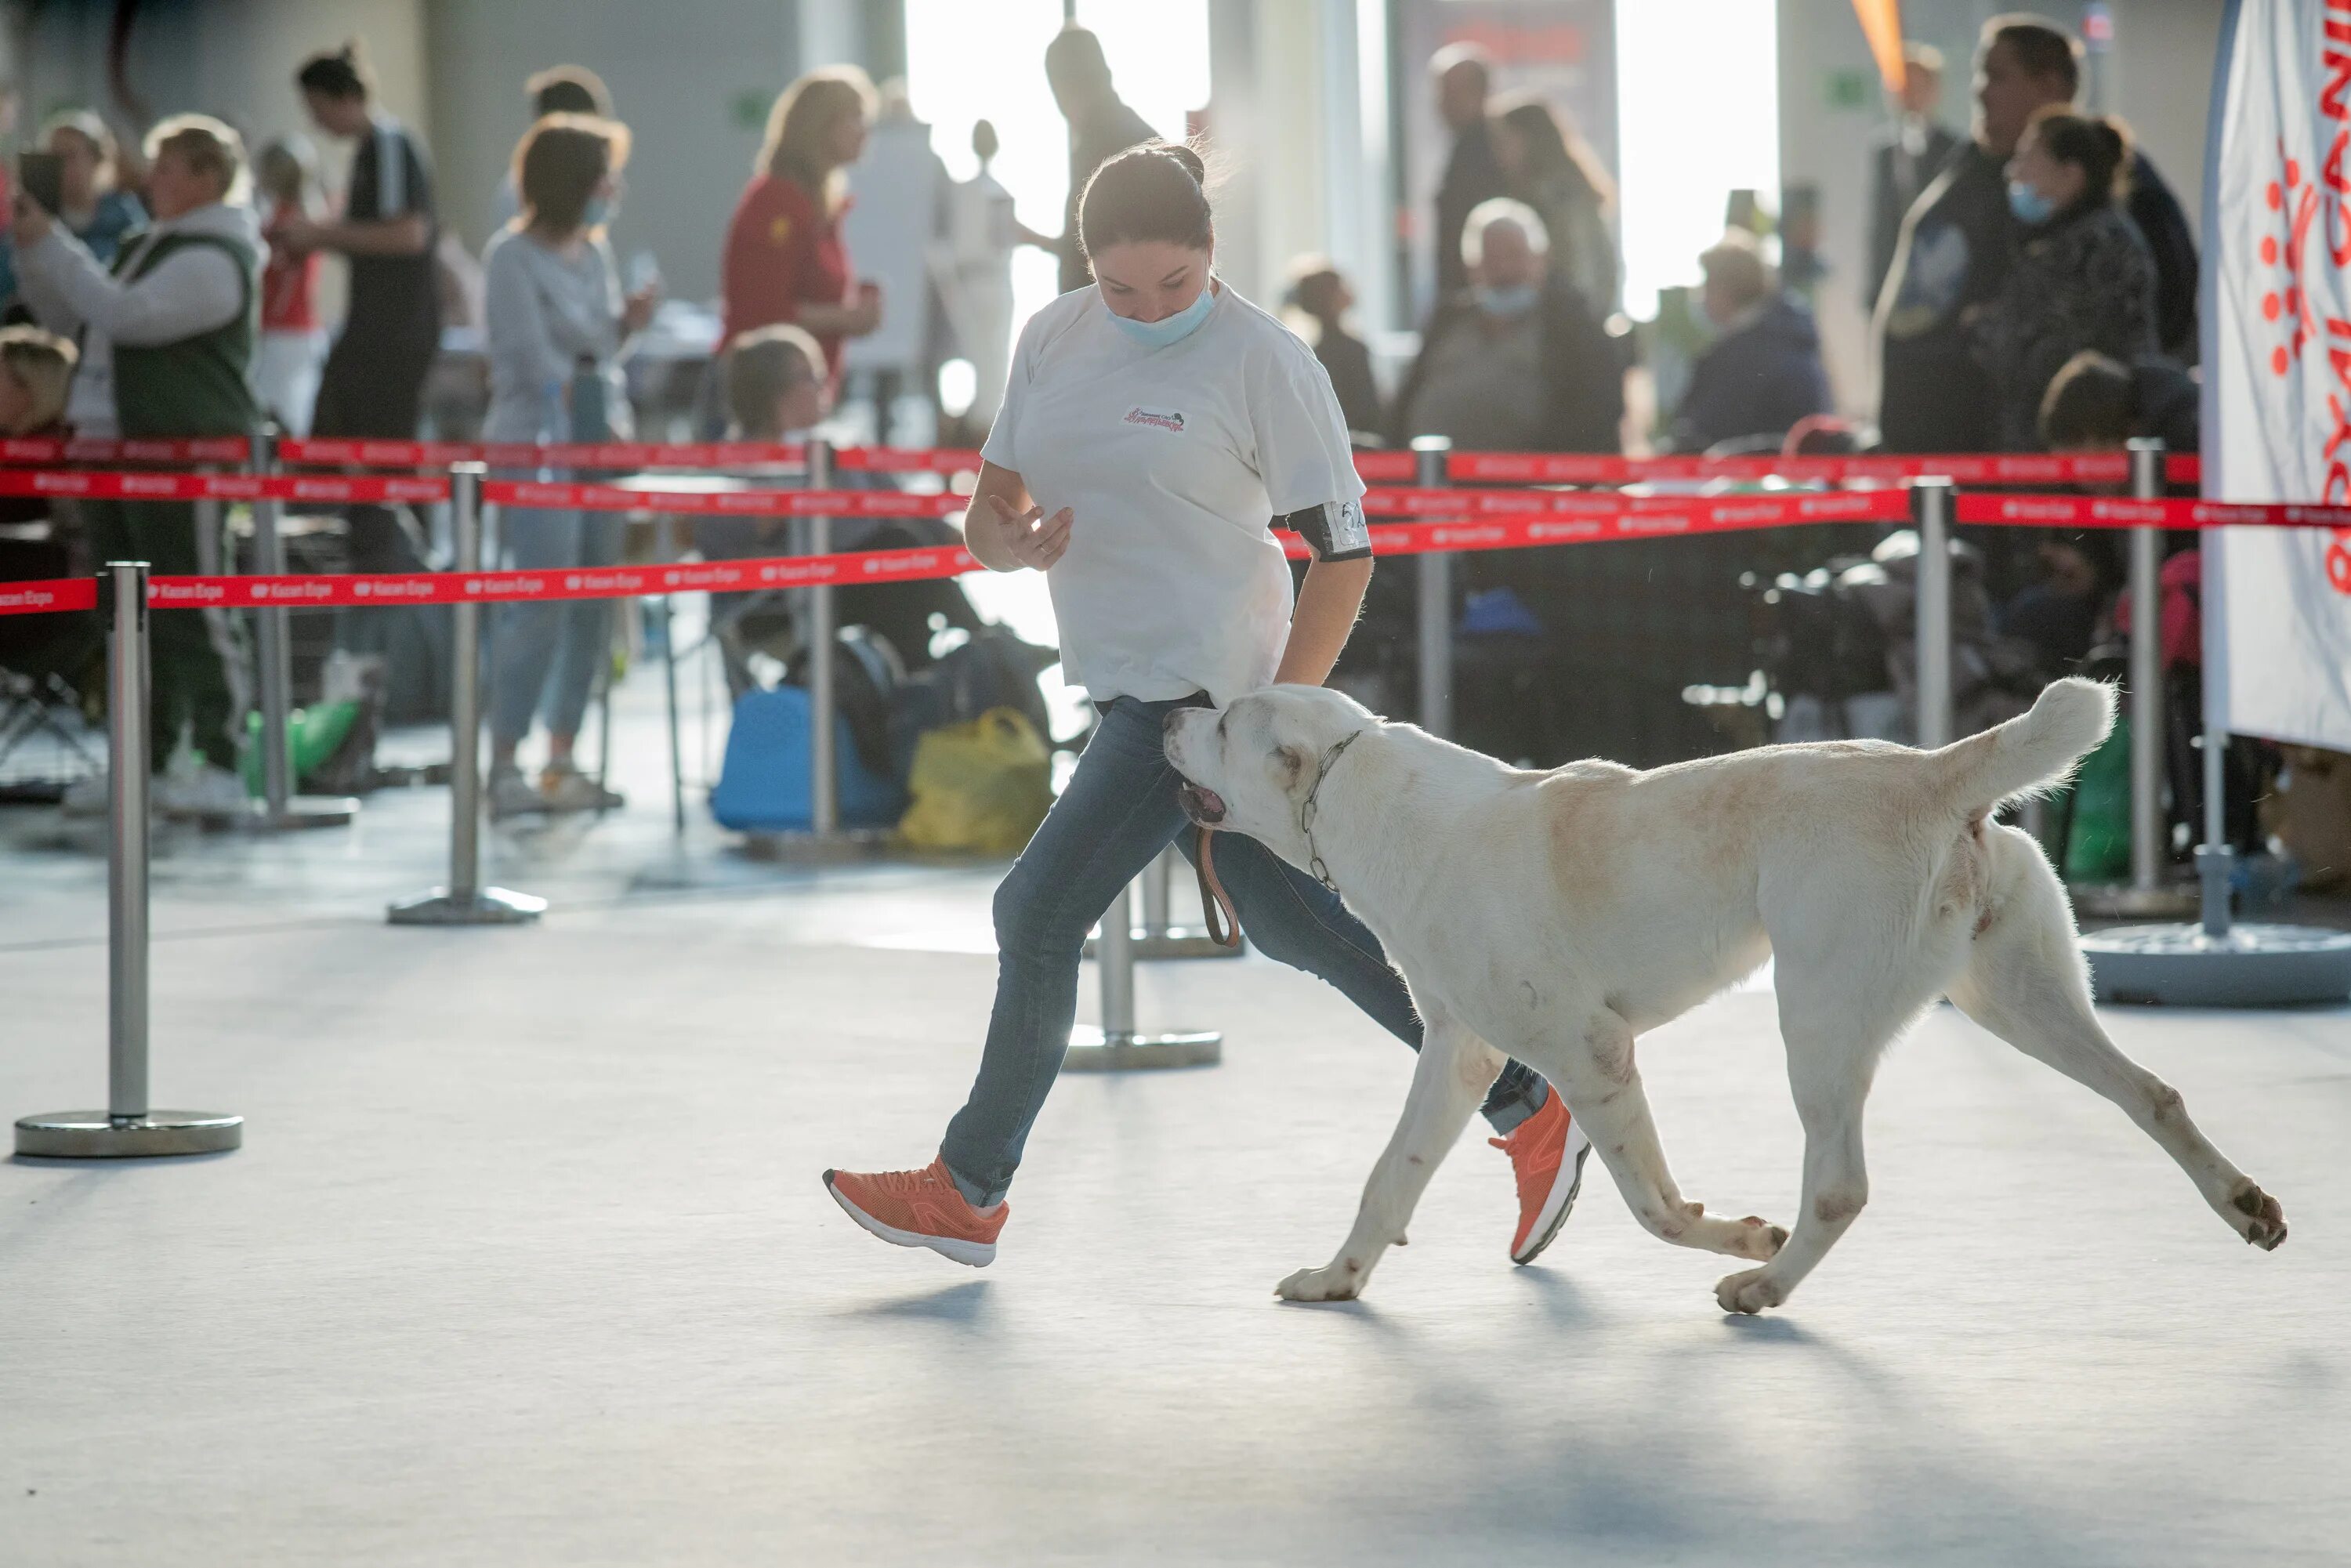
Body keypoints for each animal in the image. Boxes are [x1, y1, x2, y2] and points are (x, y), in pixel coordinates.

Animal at [1166, 682, 2285, 1316]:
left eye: (1227, 721)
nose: (1170, 707)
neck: (1361, 796)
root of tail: (1931, 772)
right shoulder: (1457, 1052)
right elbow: (1388, 1179)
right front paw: (1338, 1280)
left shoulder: (1592, 1054)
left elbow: (1655, 1207)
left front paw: (1742, 1236)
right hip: (2020, 999)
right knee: (2152, 1094)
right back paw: (2245, 1205)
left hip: (1819, 1021)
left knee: (1837, 1188)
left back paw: (1767, 1283)